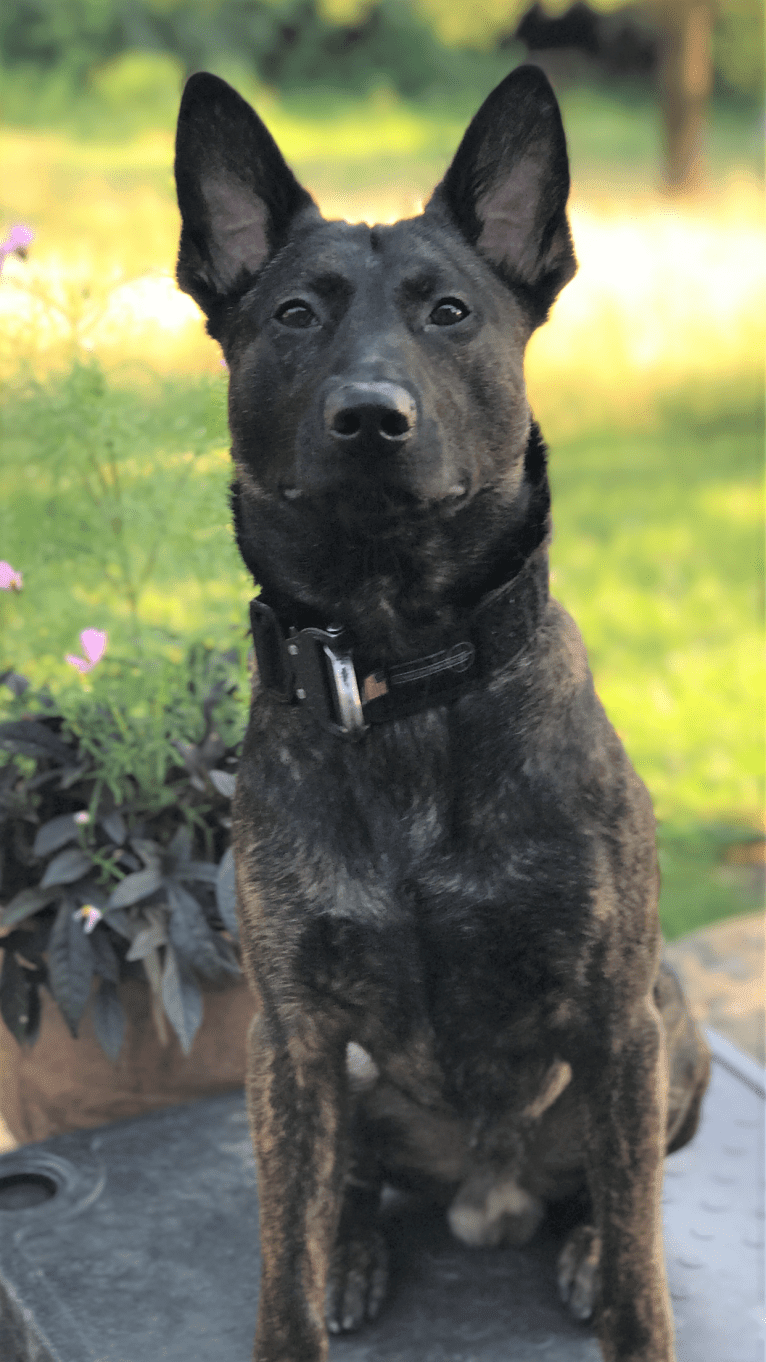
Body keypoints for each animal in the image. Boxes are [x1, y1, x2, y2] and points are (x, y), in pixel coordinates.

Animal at [174, 66, 708, 1362]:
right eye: (295, 316)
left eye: (450, 313)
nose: (371, 416)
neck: (400, 667)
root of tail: (486, 1193)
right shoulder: (291, 1037)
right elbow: (282, 1261)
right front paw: (311, 1284)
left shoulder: (616, 1018)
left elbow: (641, 1266)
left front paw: (620, 1288)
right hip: (342, 1084)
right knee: (344, 1190)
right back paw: (356, 1251)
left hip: (666, 1030)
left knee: (613, 1198)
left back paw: (574, 1242)